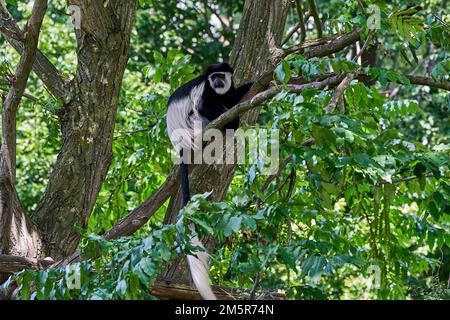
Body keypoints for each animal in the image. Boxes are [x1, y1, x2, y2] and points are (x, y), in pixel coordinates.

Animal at [166, 62, 253, 300]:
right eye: (213, 77)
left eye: (220, 75)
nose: (217, 81)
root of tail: (180, 143)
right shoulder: (205, 92)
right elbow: (205, 106)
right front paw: (233, 118)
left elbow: (233, 96)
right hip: (195, 125)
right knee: (203, 112)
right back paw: (230, 124)